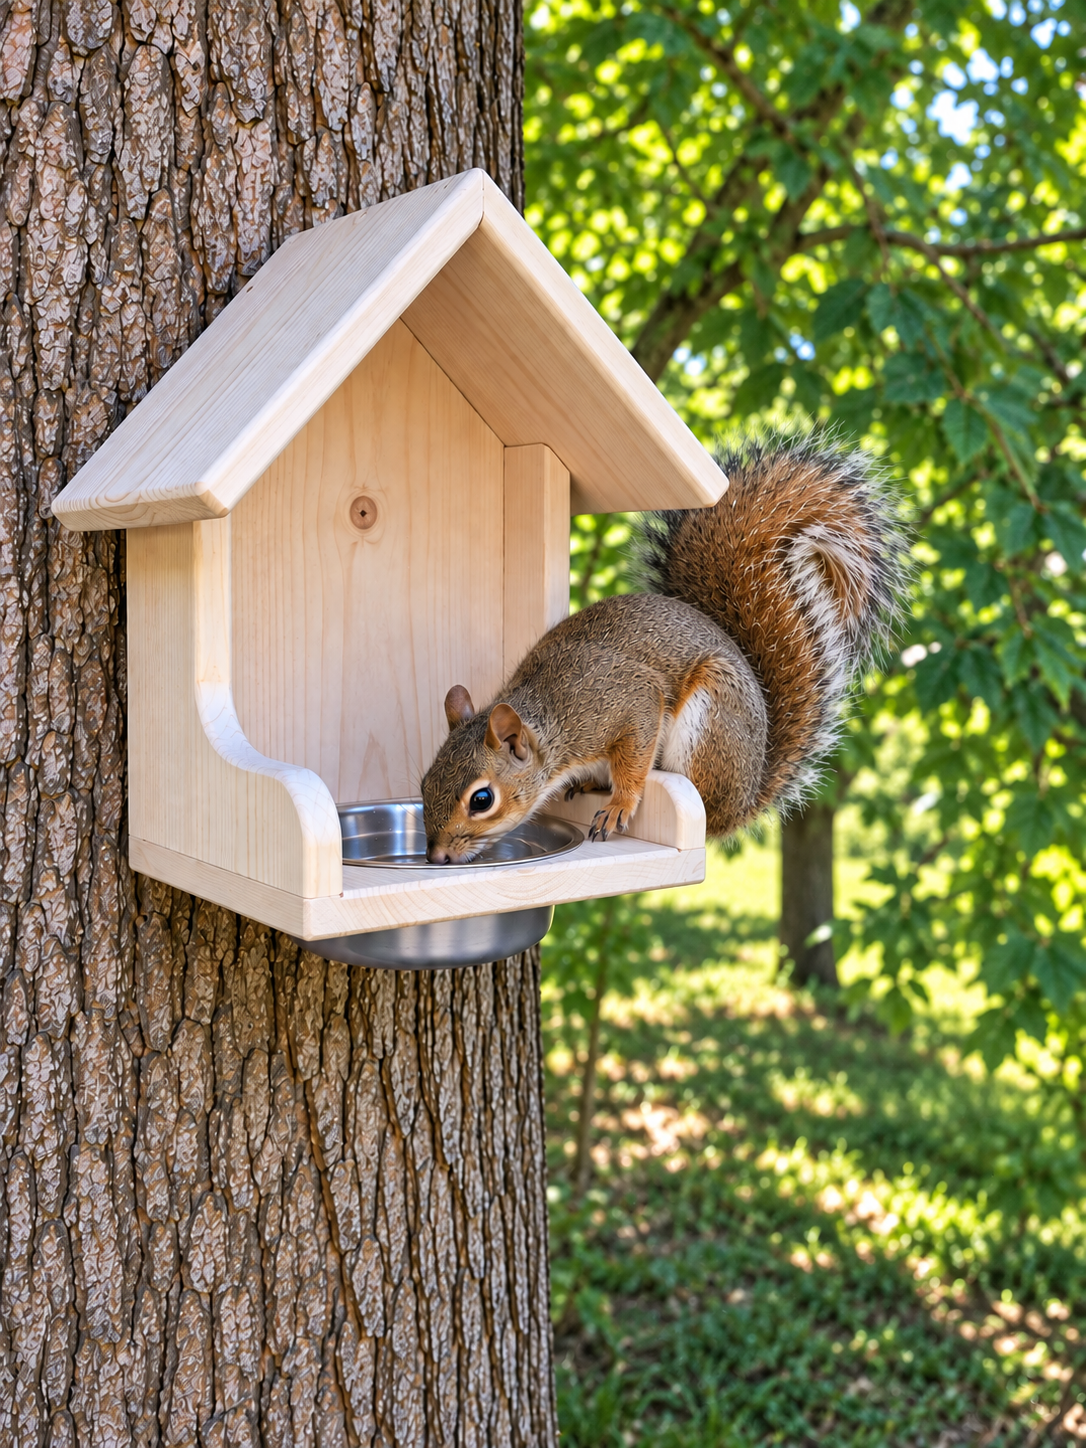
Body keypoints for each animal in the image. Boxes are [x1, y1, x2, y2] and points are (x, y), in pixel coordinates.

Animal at [421, 439, 905, 864]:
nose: (438, 856)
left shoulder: (624, 705)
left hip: (707, 724)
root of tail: (747, 797)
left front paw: (621, 802)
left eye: (482, 799)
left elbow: (635, 753)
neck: (553, 719)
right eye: (424, 782)